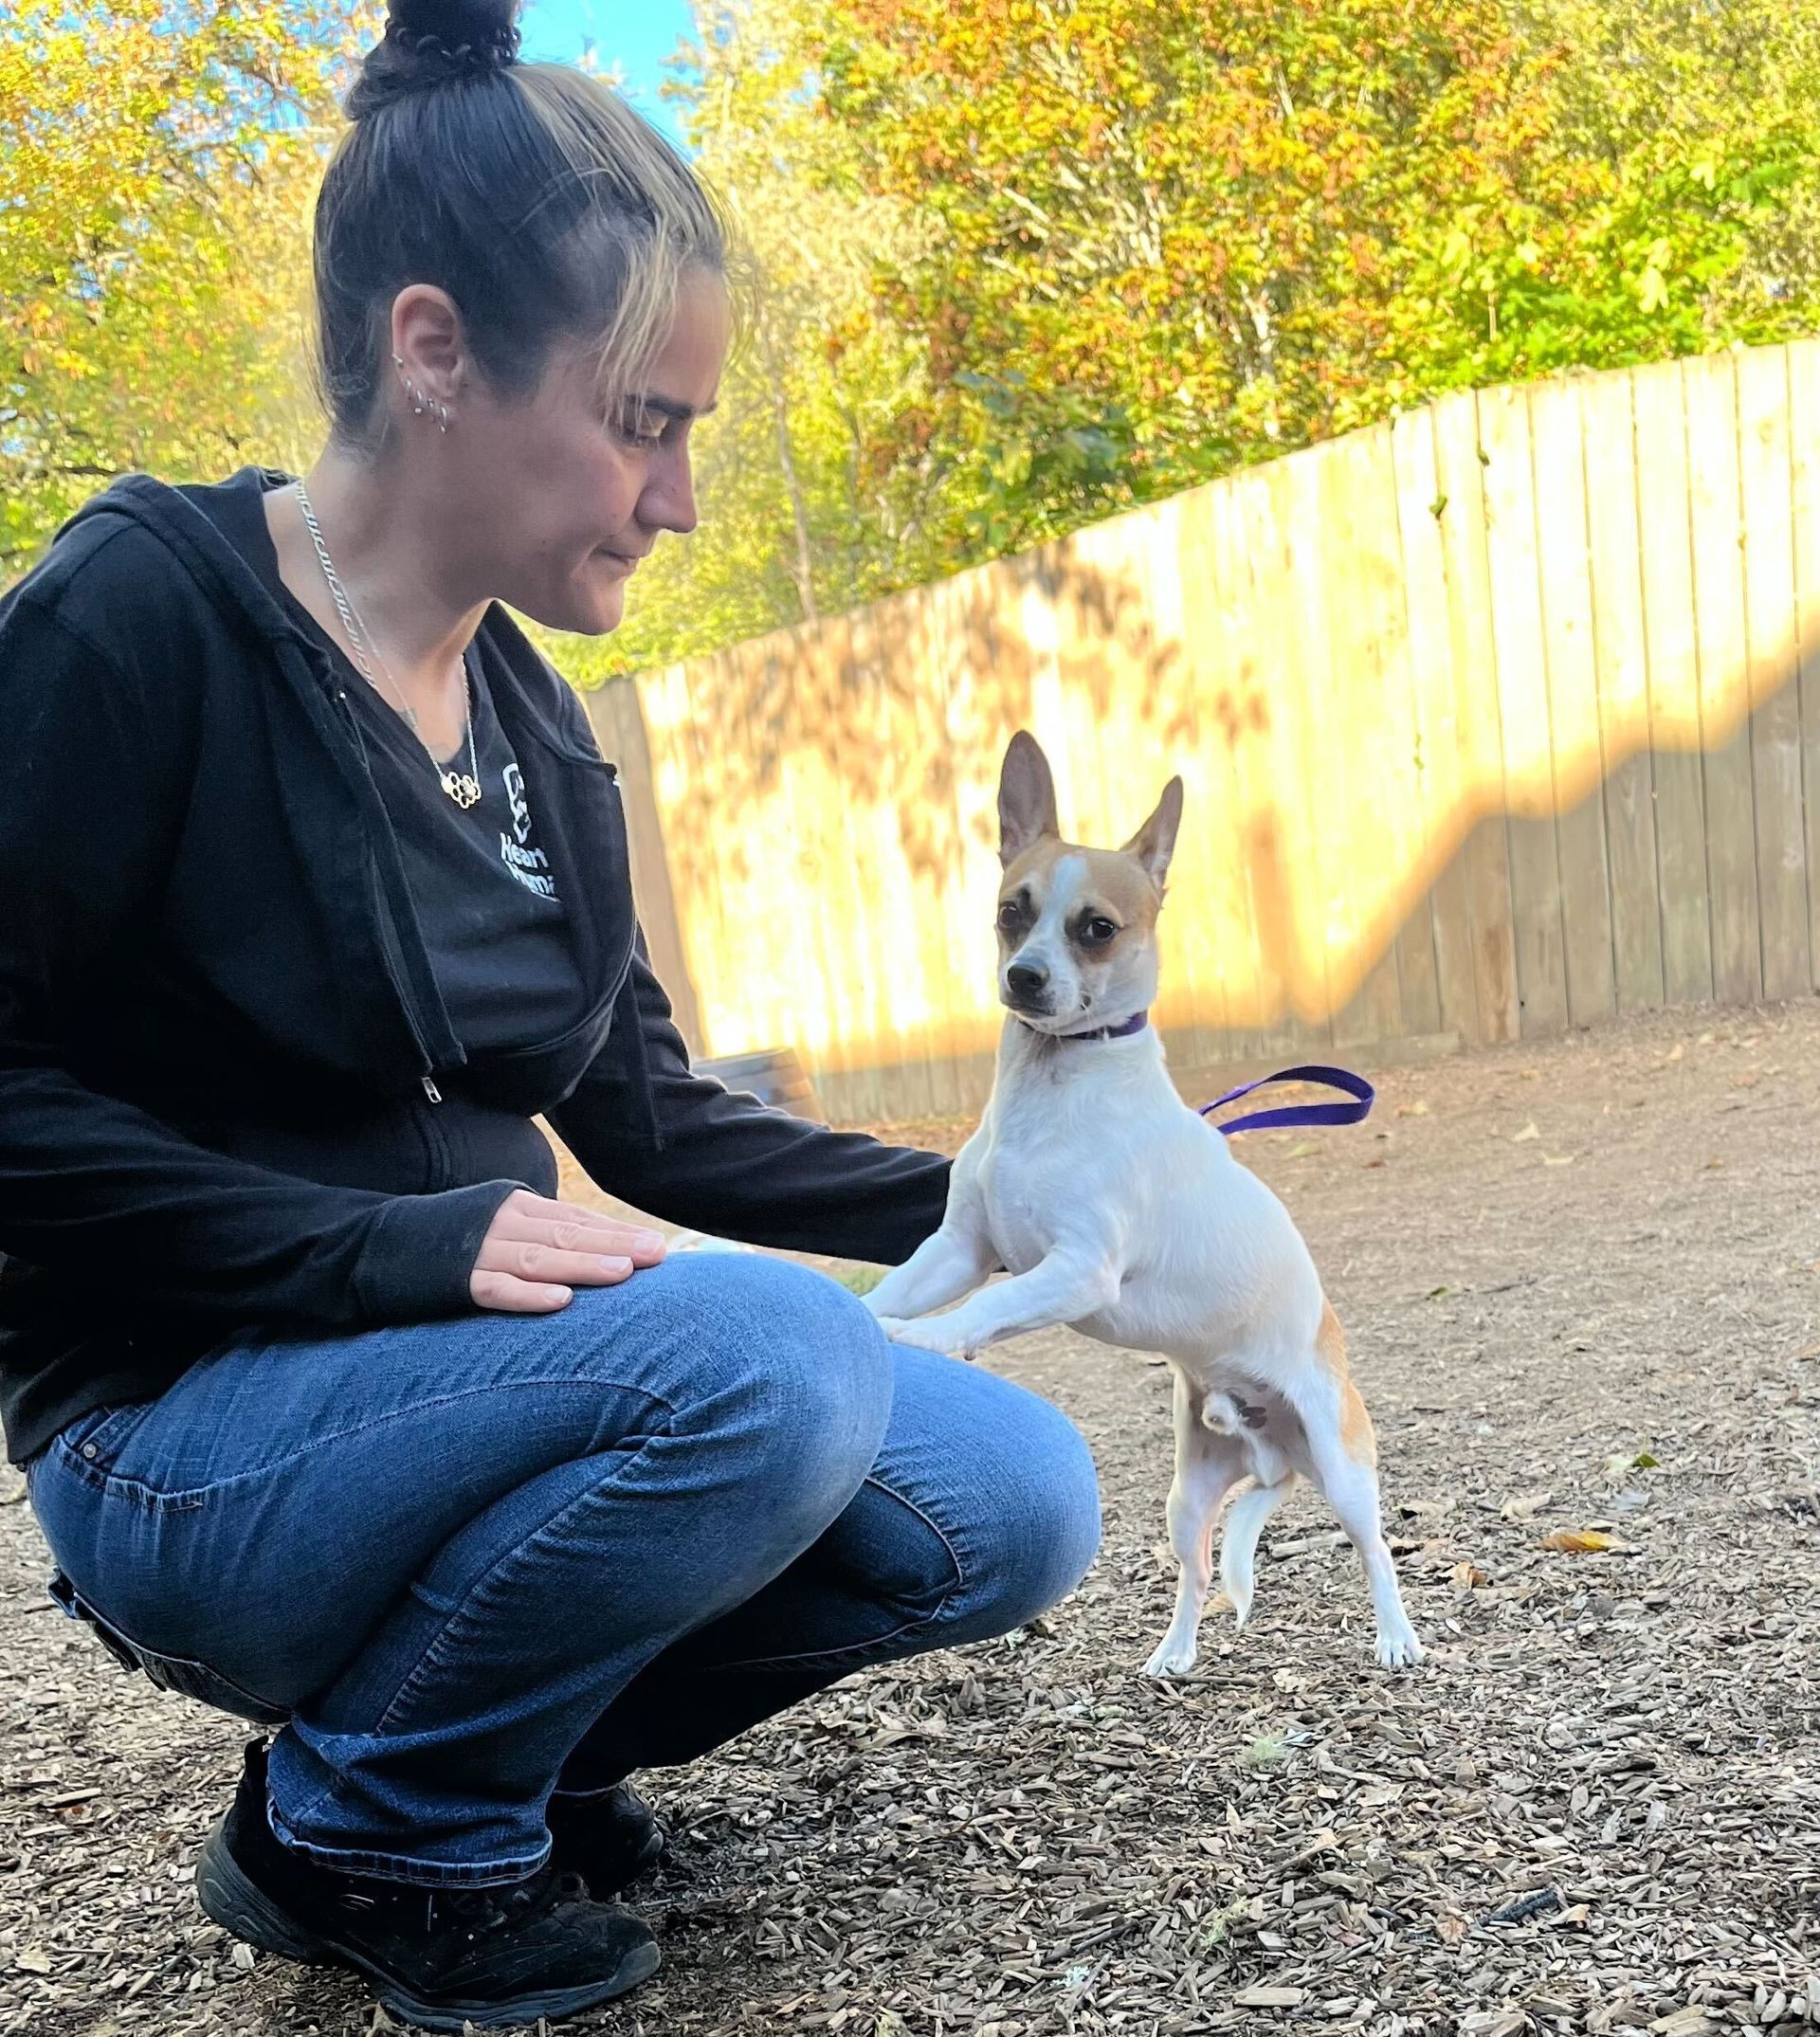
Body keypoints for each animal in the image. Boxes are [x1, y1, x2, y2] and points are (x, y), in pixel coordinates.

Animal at [864, 733, 1418, 1670]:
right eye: (1011, 911)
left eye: (1098, 928)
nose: (1024, 975)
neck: (1052, 1089)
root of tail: (1275, 1455)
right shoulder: (961, 1248)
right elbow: (900, 1289)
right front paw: (860, 1319)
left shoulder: (1075, 1269)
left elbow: (986, 1308)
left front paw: (927, 1339)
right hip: (1188, 1499)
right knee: (1196, 1574)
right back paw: (1175, 1654)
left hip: (1346, 1477)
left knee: (1375, 1549)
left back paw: (1396, 1636)